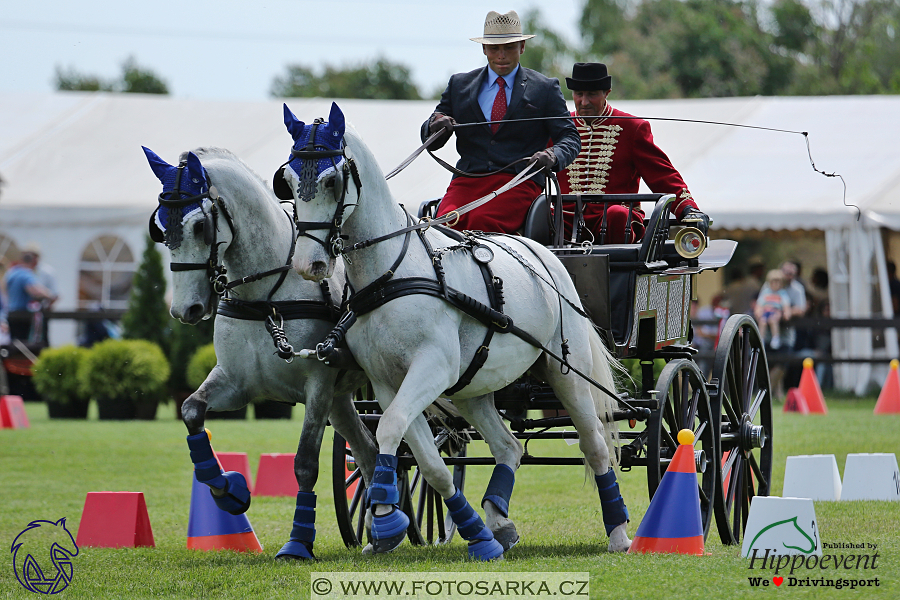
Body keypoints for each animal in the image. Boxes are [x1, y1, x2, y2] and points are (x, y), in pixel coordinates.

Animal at [142, 148, 380, 560]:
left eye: (201, 227)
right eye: (160, 228)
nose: (185, 310)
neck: (267, 295)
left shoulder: (318, 385)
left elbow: (304, 463)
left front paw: (298, 542)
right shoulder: (236, 383)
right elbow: (191, 410)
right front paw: (230, 491)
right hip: (341, 401)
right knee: (368, 450)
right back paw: (378, 533)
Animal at [276, 102, 632, 556]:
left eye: (331, 179)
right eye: (287, 180)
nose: (309, 264)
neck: (389, 274)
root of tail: (546, 252)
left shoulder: (432, 369)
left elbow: (390, 428)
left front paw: (385, 520)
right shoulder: (388, 382)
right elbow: (425, 459)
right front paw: (408, 523)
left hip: (566, 373)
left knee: (595, 445)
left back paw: (618, 532)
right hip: (473, 388)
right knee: (508, 446)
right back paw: (499, 523)